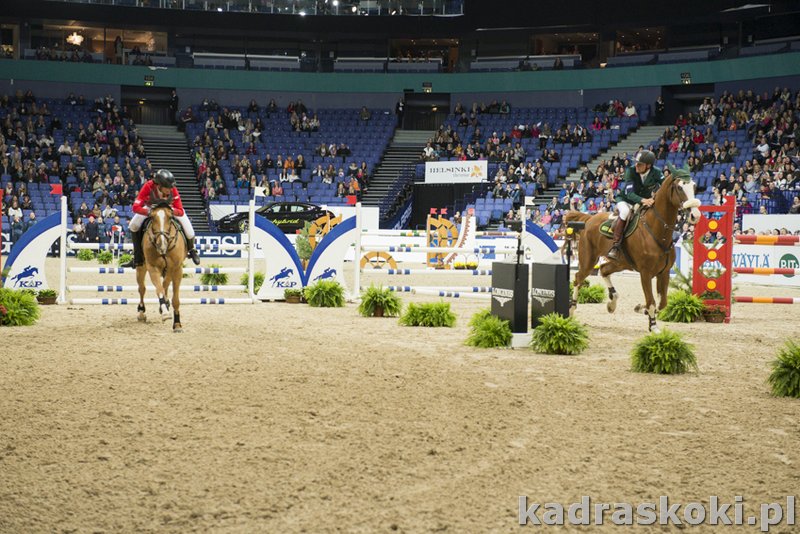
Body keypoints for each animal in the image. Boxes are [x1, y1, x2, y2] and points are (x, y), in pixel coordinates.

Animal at [136, 200, 187, 332]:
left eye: (170, 217)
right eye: (152, 217)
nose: (161, 244)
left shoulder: (176, 269)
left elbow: (174, 298)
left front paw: (177, 324)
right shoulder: (153, 268)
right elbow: (159, 289)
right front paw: (164, 311)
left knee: (166, 284)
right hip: (141, 267)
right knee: (142, 288)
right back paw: (141, 312)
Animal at [563, 172, 701, 332]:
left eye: (694, 186)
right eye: (679, 187)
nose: (695, 215)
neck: (657, 231)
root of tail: (589, 219)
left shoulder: (664, 272)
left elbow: (662, 303)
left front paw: (641, 309)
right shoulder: (645, 273)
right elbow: (652, 301)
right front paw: (653, 326)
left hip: (620, 263)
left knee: (604, 270)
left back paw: (612, 303)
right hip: (588, 260)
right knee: (578, 278)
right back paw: (571, 310)